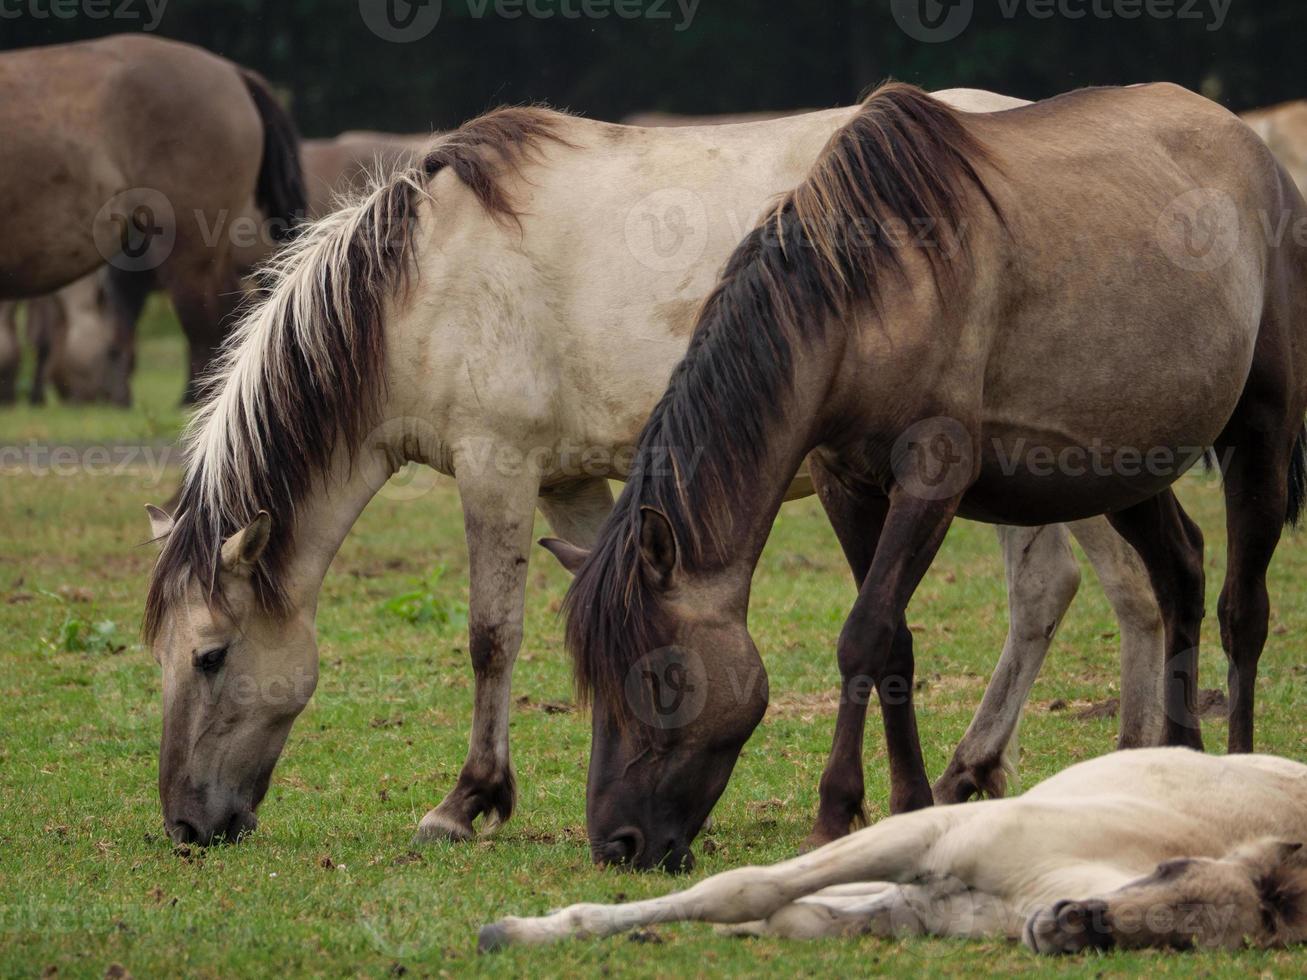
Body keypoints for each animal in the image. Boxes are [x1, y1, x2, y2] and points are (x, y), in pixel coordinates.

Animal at [143, 88, 1160, 846]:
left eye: (210, 656)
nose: (187, 826)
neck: (423, 287)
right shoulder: (575, 485)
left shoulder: (496, 468)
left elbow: (490, 637)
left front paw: (466, 800)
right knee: (1066, 589)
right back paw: (1006, 770)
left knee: (1108, 590)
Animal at [480, 752, 1307, 961]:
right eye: (1170, 870)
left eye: (1181, 939)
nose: (1065, 925)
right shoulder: (919, 835)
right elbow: (745, 888)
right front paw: (516, 931)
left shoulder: (913, 903)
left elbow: (791, 915)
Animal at [551, 84, 1307, 872]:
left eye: (661, 677)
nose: (617, 842)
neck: (868, 298)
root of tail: (1261, 158)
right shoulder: (845, 485)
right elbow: (893, 643)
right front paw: (908, 802)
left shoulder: (931, 478)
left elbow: (863, 633)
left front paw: (836, 811)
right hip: (1123, 470)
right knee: (1180, 571)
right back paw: (1179, 760)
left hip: (1260, 438)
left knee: (1241, 611)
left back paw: (1240, 769)